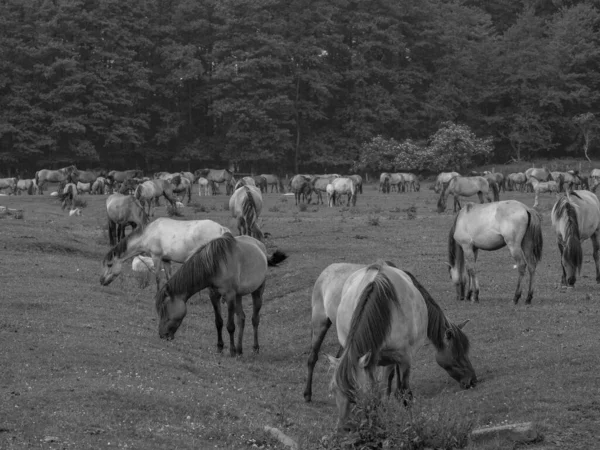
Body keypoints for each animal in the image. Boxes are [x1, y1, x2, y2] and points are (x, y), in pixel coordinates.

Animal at [99, 218, 231, 288]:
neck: (148, 233)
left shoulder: (156, 257)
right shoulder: (166, 260)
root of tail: (221, 229)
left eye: (110, 265)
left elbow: (158, 277)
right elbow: (168, 278)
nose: (101, 280)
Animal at [154, 232, 288, 356]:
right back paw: (240, 350)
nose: (162, 334)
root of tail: (261, 246)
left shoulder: (229, 296)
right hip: (238, 296)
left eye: (164, 308)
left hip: (257, 292)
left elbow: (230, 326)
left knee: (255, 319)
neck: (216, 264)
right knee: (241, 319)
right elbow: (219, 322)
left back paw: (254, 348)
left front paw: (232, 351)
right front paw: (220, 347)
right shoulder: (214, 295)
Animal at [314, 260, 478, 428]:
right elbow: (379, 392)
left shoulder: (402, 358)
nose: (472, 380)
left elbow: (403, 393)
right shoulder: (372, 360)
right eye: (333, 390)